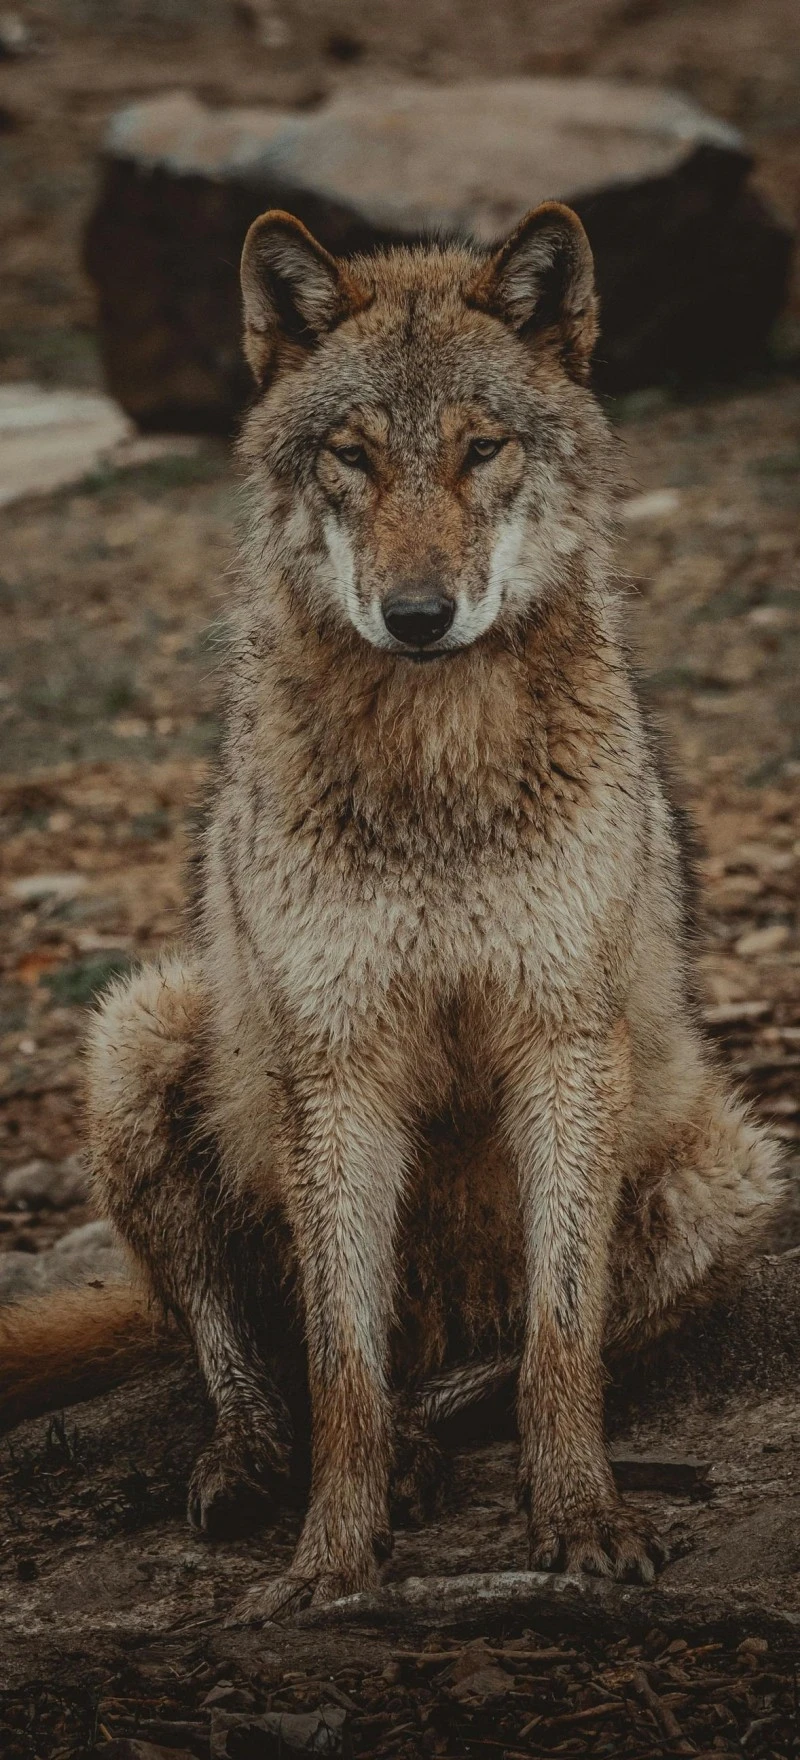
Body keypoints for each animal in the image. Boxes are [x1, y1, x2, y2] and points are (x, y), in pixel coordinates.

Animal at [0, 203, 781, 1620]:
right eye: (353, 456)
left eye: (480, 448)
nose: (418, 616)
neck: (435, 766)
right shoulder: (340, 1064)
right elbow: (338, 1368)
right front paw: (329, 1560)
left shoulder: (561, 1043)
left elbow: (558, 1341)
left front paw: (581, 1518)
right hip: (139, 1031)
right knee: (247, 1351)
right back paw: (256, 1464)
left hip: (734, 1168)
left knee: (484, 1360)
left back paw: (430, 1444)